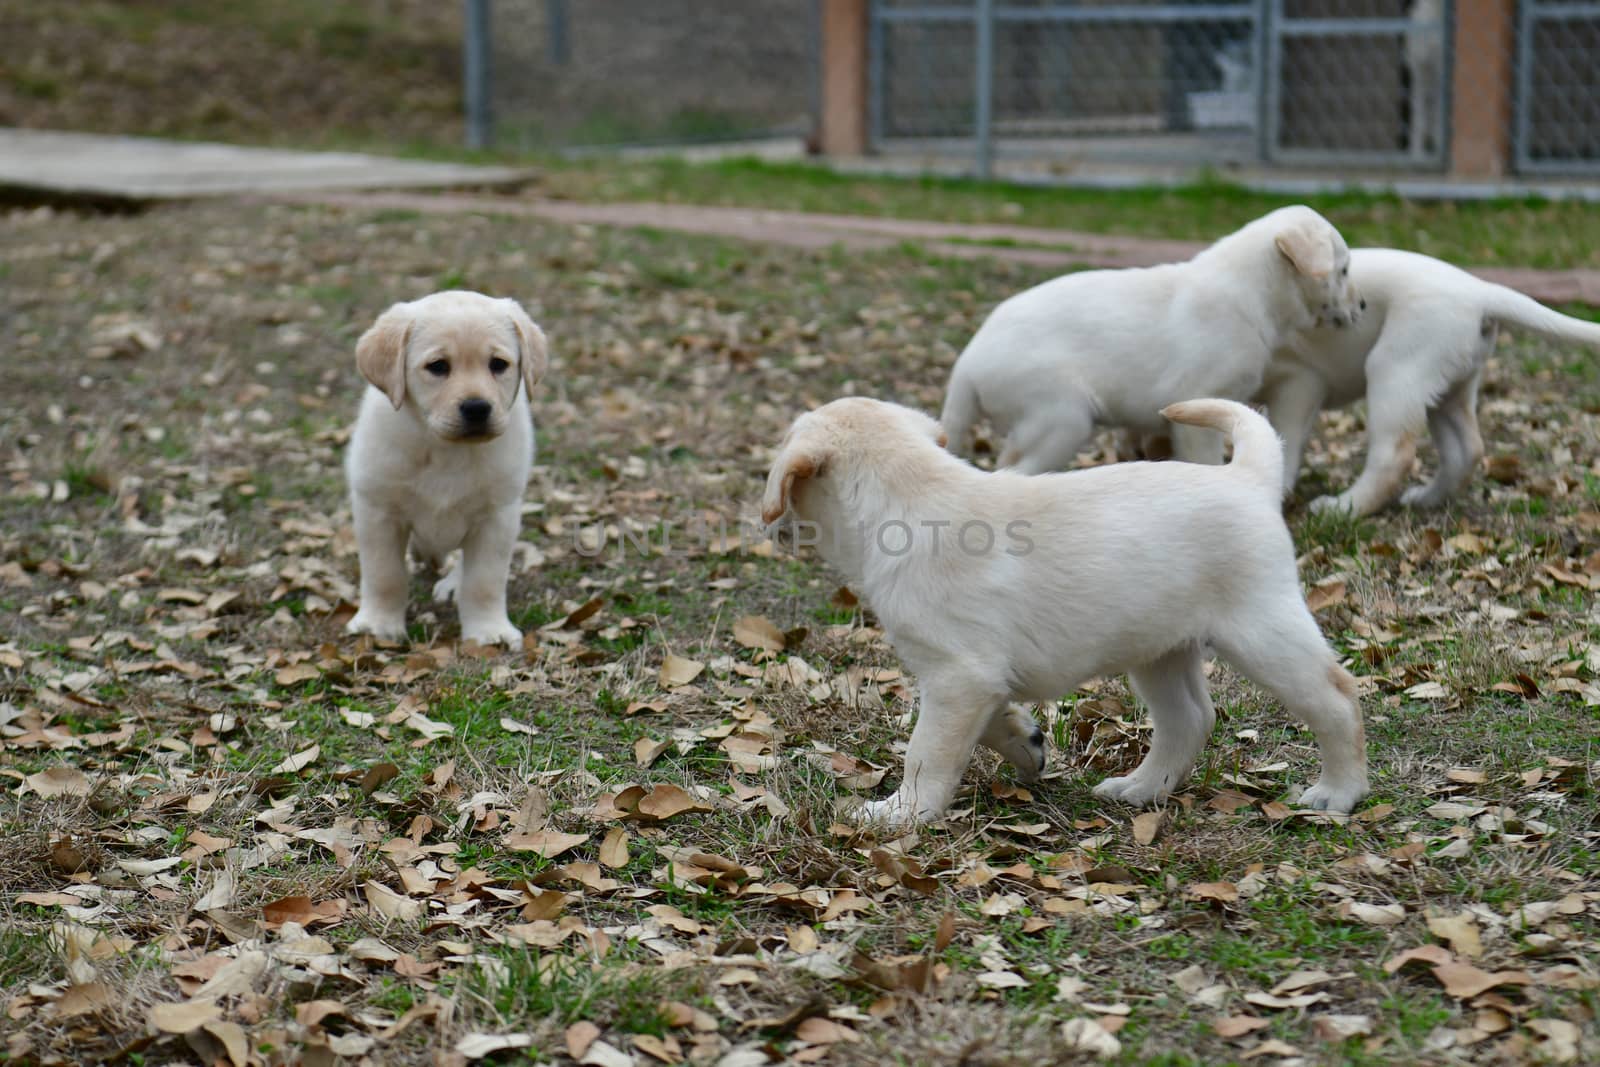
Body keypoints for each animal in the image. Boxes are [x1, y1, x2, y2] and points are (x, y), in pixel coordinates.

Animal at [340, 287, 547, 646]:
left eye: (498, 364)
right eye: (437, 366)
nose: (477, 408)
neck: (447, 450)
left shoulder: (497, 517)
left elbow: (484, 581)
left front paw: (488, 629)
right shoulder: (378, 510)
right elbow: (384, 574)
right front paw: (378, 623)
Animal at [761, 396, 1363, 831]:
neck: (906, 499)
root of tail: (1246, 478)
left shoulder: (958, 675)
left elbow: (925, 752)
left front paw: (901, 813)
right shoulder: (974, 678)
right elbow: (989, 726)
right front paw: (1025, 745)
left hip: (1262, 633)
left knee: (1337, 697)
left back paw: (1337, 793)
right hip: (1160, 649)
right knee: (1190, 718)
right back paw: (1141, 787)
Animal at [934, 207, 1363, 470]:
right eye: (1343, 270)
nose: (1361, 306)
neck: (1250, 292)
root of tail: (966, 365)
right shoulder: (1198, 409)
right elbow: (1207, 463)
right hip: (1061, 418)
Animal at [1260, 251, 1600, 518]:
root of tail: (1480, 291)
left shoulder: (1298, 384)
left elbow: (1285, 440)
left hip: (1393, 370)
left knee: (1393, 457)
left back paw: (1343, 508)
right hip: (1446, 387)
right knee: (1466, 449)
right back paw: (1427, 499)